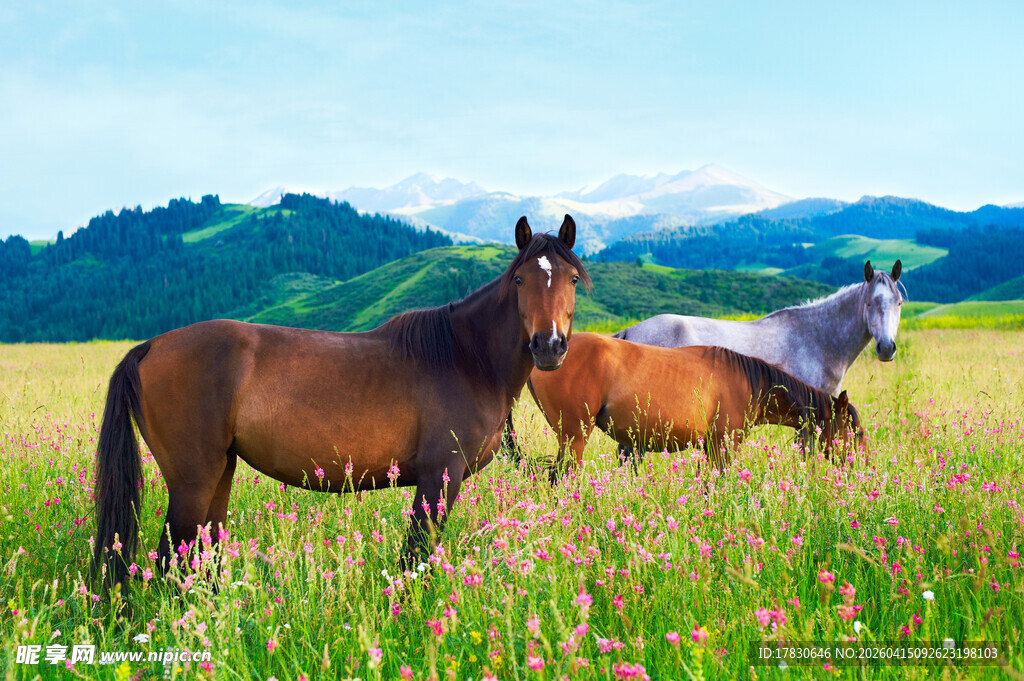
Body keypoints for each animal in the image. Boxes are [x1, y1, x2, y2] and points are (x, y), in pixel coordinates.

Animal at [93, 215, 591, 587]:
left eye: (571, 278)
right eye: (521, 279)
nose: (549, 346)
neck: (465, 358)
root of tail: (150, 347)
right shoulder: (438, 477)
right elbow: (416, 558)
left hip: (219, 473)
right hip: (192, 482)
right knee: (170, 561)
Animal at [525, 333, 864, 481]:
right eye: (856, 433)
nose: (859, 468)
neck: (750, 383)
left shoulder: (711, 446)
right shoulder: (724, 444)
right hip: (574, 437)